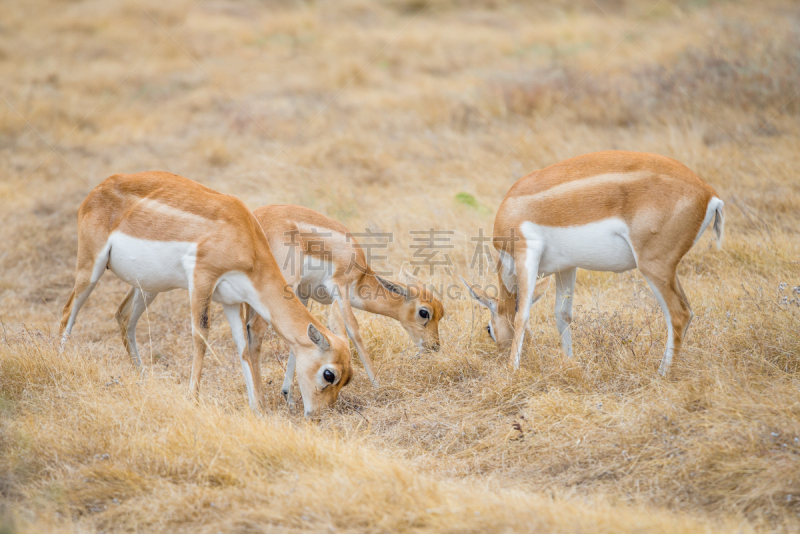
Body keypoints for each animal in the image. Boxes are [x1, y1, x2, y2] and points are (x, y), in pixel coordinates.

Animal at [57, 174, 352, 416]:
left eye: (348, 378)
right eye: (329, 374)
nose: (318, 414)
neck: (244, 236)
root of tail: (99, 188)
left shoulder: (232, 301)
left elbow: (243, 348)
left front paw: (257, 408)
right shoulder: (201, 278)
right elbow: (201, 336)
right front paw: (193, 399)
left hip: (148, 287)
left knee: (123, 316)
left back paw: (144, 379)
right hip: (91, 268)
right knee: (68, 312)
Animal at [241, 205, 446, 406]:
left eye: (441, 314)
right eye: (424, 312)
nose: (435, 346)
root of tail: (256, 221)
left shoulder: (303, 295)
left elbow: (300, 337)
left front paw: (288, 396)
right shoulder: (341, 290)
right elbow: (354, 330)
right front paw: (378, 386)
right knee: (255, 328)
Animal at [456, 151, 724, 376]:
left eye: (488, 329)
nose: (501, 355)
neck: (513, 206)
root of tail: (709, 193)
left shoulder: (526, 254)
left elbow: (522, 315)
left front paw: (512, 370)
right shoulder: (566, 267)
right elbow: (562, 314)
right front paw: (570, 364)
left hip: (653, 266)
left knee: (679, 314)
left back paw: (662, 374)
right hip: (668, 269)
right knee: (687, 312)